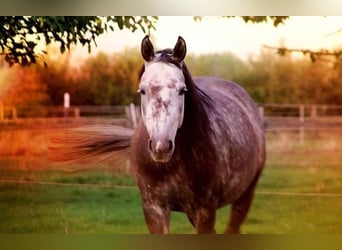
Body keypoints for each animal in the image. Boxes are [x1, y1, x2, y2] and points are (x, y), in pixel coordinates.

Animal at [52, 35, 264, 234]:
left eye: (182, 90)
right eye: (142, 90)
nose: (161, 147)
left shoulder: (204, 210)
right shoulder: (154, 208)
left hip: (244, 196)